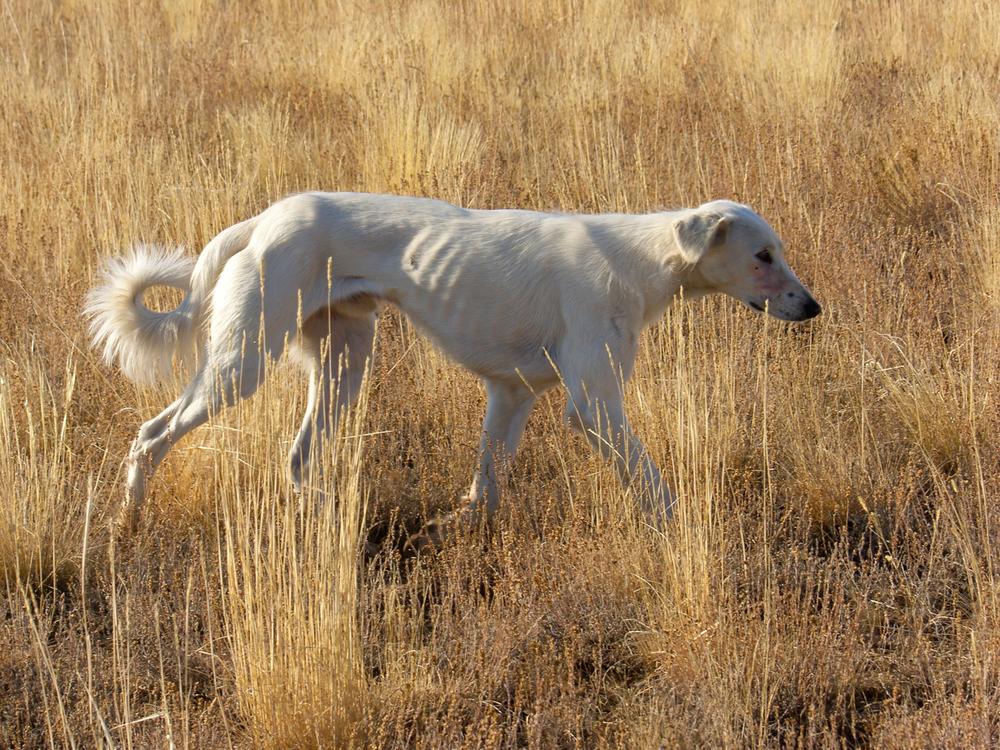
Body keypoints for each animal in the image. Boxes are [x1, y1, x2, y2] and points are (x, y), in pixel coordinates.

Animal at [86, 192, 820, 536]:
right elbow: (653, 484)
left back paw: (331, 527)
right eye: (762, 255)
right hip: (241, 365)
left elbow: (486, 486)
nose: (812, 307)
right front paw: (684, 534)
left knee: (298, 460)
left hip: (344, 362)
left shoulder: (513, 394)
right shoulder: (593, 403)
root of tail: (266, 218)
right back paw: (127, 522)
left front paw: (459, 530)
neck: (640, 258)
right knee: (151, 436)